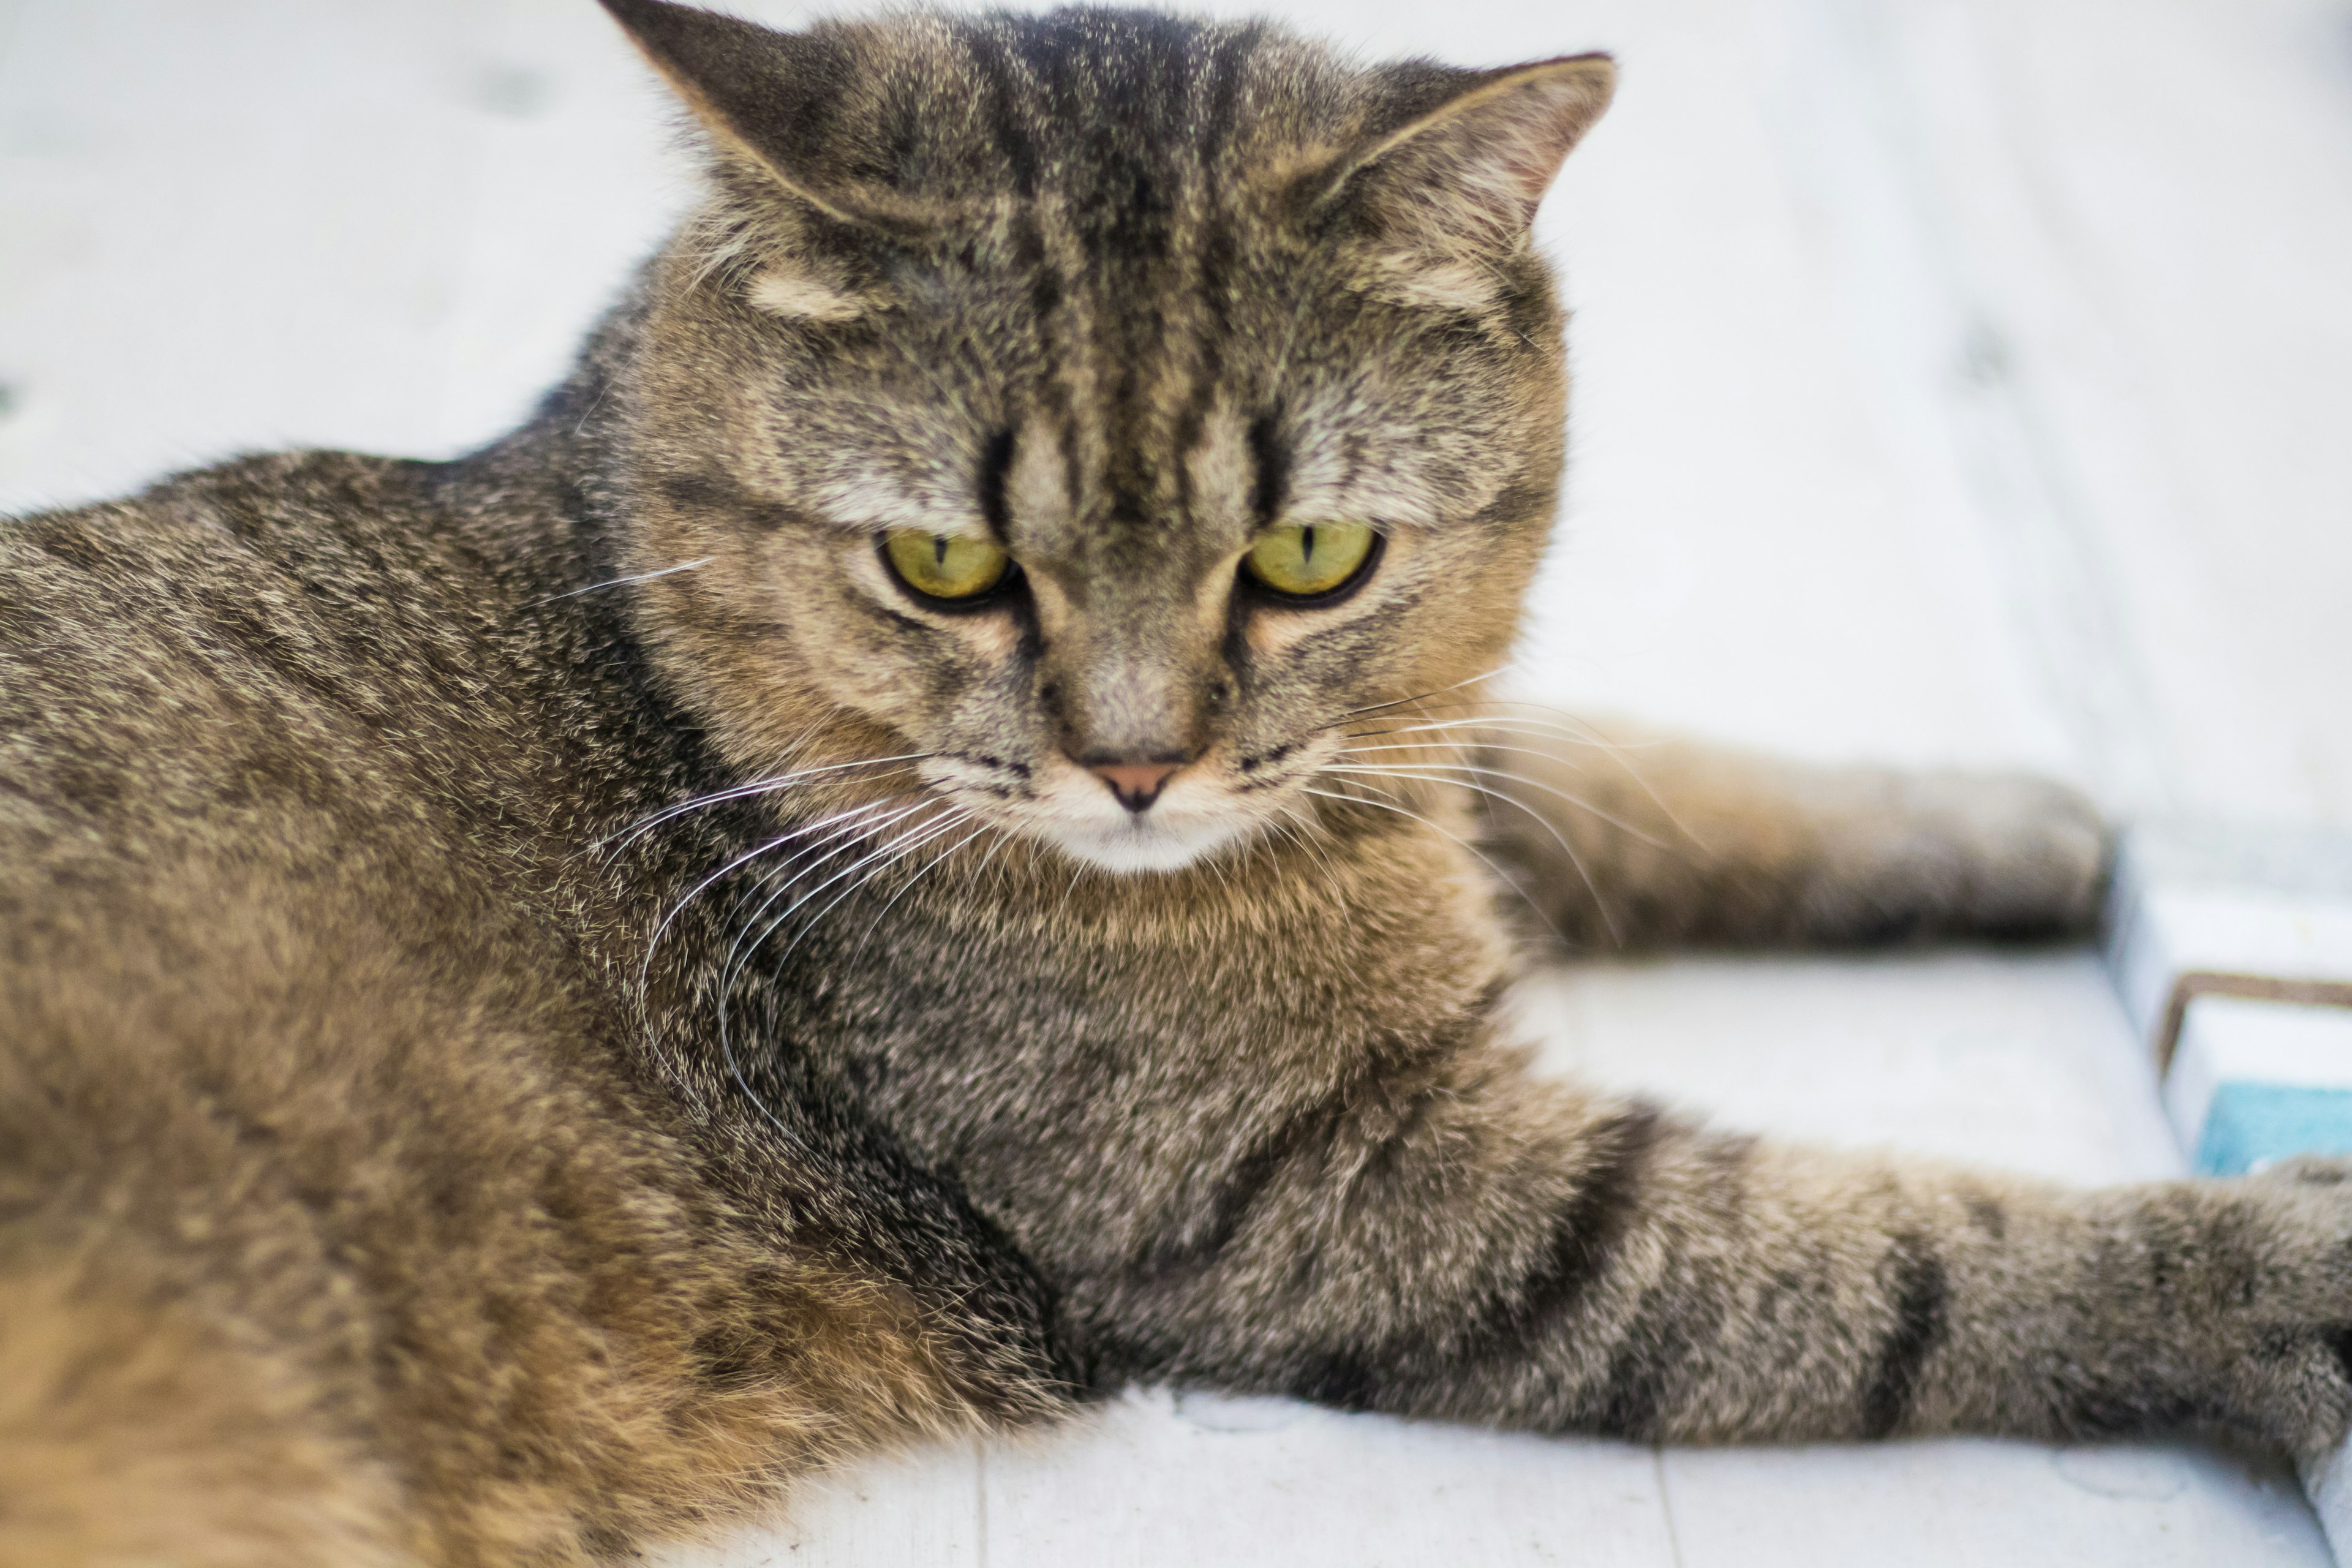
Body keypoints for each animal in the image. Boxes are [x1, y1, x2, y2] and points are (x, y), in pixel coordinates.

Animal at [4, 3, 2352, 1568]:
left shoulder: (1418, 751)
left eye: (1306, 555)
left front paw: (1999, 822)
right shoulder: (1350, 1191)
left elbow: (1632, 774)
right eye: (943, 565)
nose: (1135, 764)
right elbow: (1901, 1263)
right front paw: (2258, 1272)